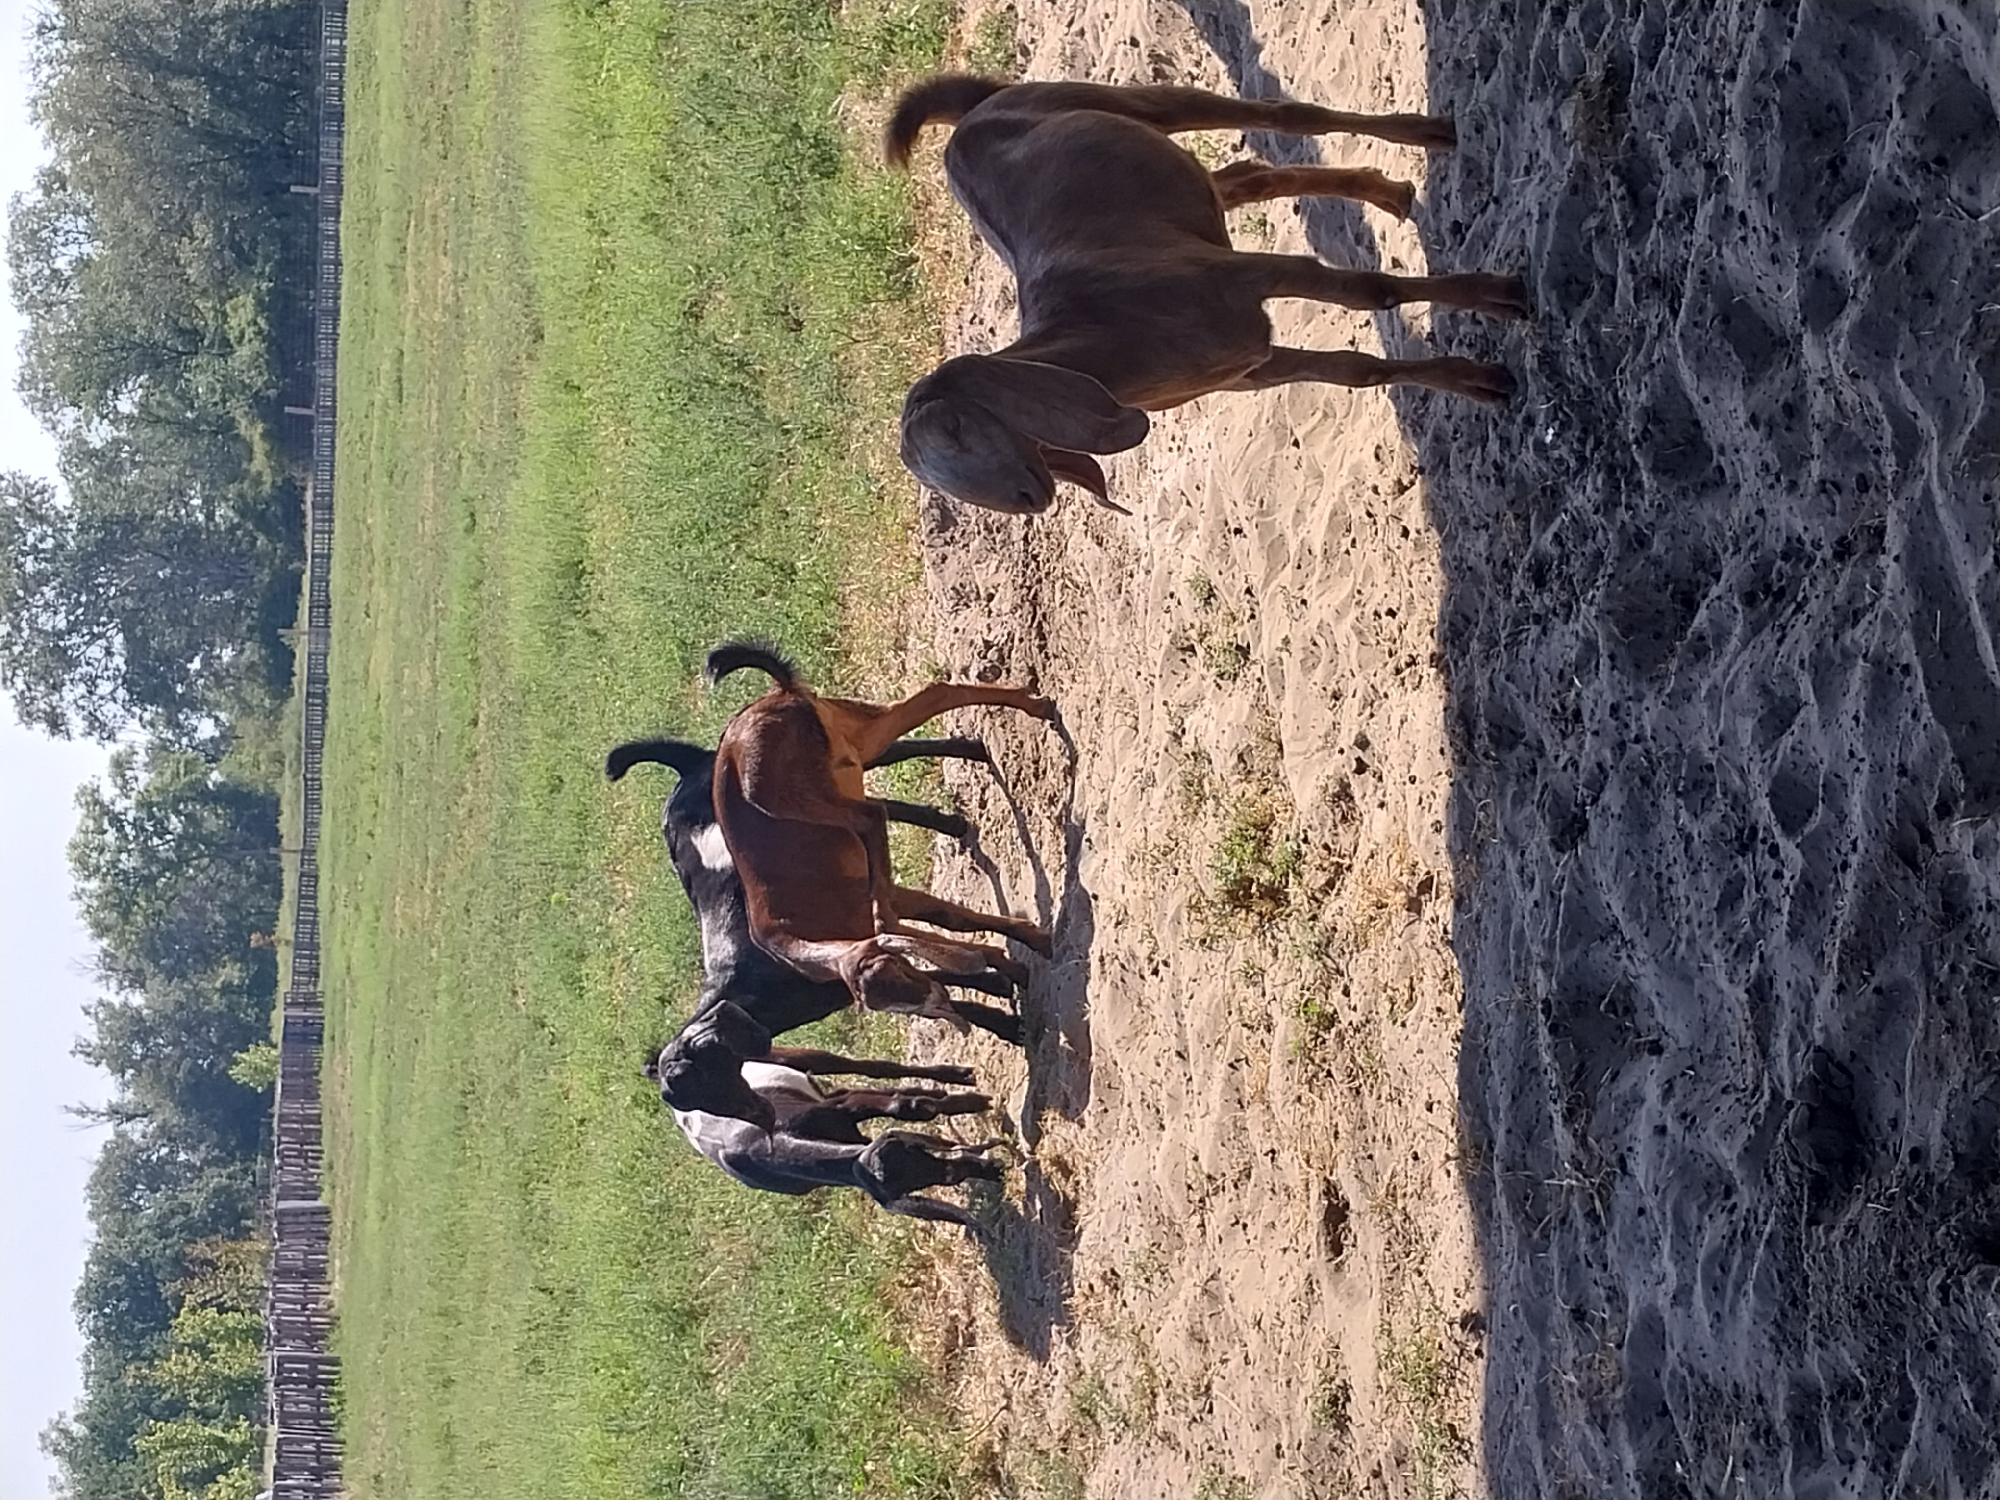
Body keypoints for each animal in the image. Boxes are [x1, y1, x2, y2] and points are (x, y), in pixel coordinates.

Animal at [605, 733, 1025, 1129]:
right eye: (692, 1101)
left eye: (710, 1072)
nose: (762, 1116)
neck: (748, 987)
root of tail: (688, 768)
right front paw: (999, 998)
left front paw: (1005, 1012)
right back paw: (949, 821)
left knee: (879, 755)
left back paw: (967, 753)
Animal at [662, 1055, 1005, 1237]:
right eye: (943, 1178)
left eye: (915, 1152)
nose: (993, 1169)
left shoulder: (843, 1110)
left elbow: (905, 1106)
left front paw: (973, 1101)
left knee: (872, 1069)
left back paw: (955, 1077)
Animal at [708, 640, 1055, 1016]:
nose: (943, 1008)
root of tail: (777, 696)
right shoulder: (889, 901)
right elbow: (949, 918)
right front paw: (1024, 955)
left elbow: (925, 923)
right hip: (851, 735)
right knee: (933, 695)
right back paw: (1032, 707)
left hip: (798, 793)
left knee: (871, 814)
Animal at [885, 75, 1530, 513]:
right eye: (933, 480)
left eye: (956, 426)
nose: (1027, 498)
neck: (1111, 327)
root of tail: (969, 117)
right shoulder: (1249, 367)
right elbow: (1355, 371)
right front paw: (1479, 382)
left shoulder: (1243, 275)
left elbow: (1372, 291)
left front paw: (1501, 296)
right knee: (1247, 178)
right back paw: (1388, 192)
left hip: (1123, 101)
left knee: (1281, 115)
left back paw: (1430, 133)